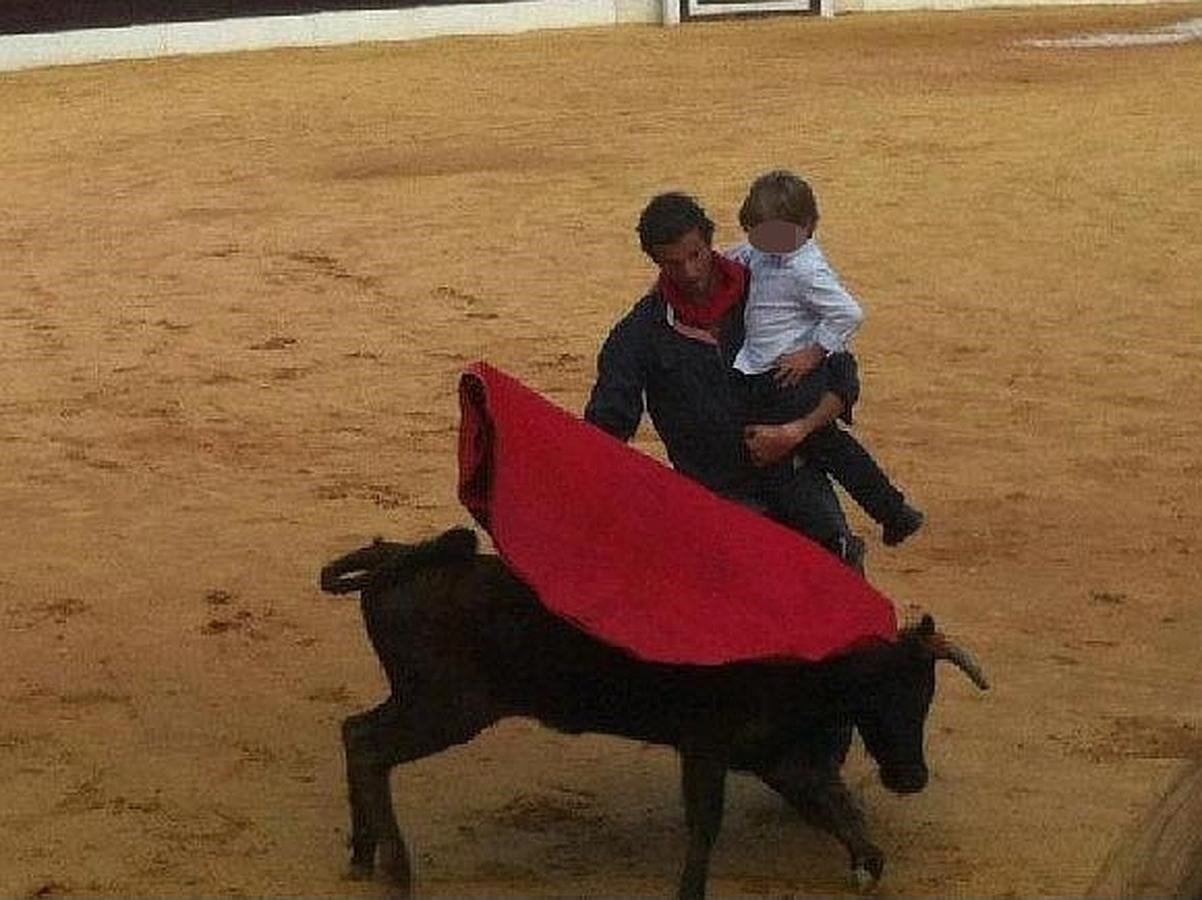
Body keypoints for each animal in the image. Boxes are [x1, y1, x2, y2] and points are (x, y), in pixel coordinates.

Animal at [319, 526, 985, 898]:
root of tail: (397, 559)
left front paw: (866, 865)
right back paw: (397, 870)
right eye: (893, 691)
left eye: (926, 693)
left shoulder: (773, 754)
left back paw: (362, 855)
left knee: (355, 733)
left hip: (423, 701)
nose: (912, 777)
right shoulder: (707, 745)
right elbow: (706, 823)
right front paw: (689, 891)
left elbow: (832, 804)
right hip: (450, 707)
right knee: (371, 748)